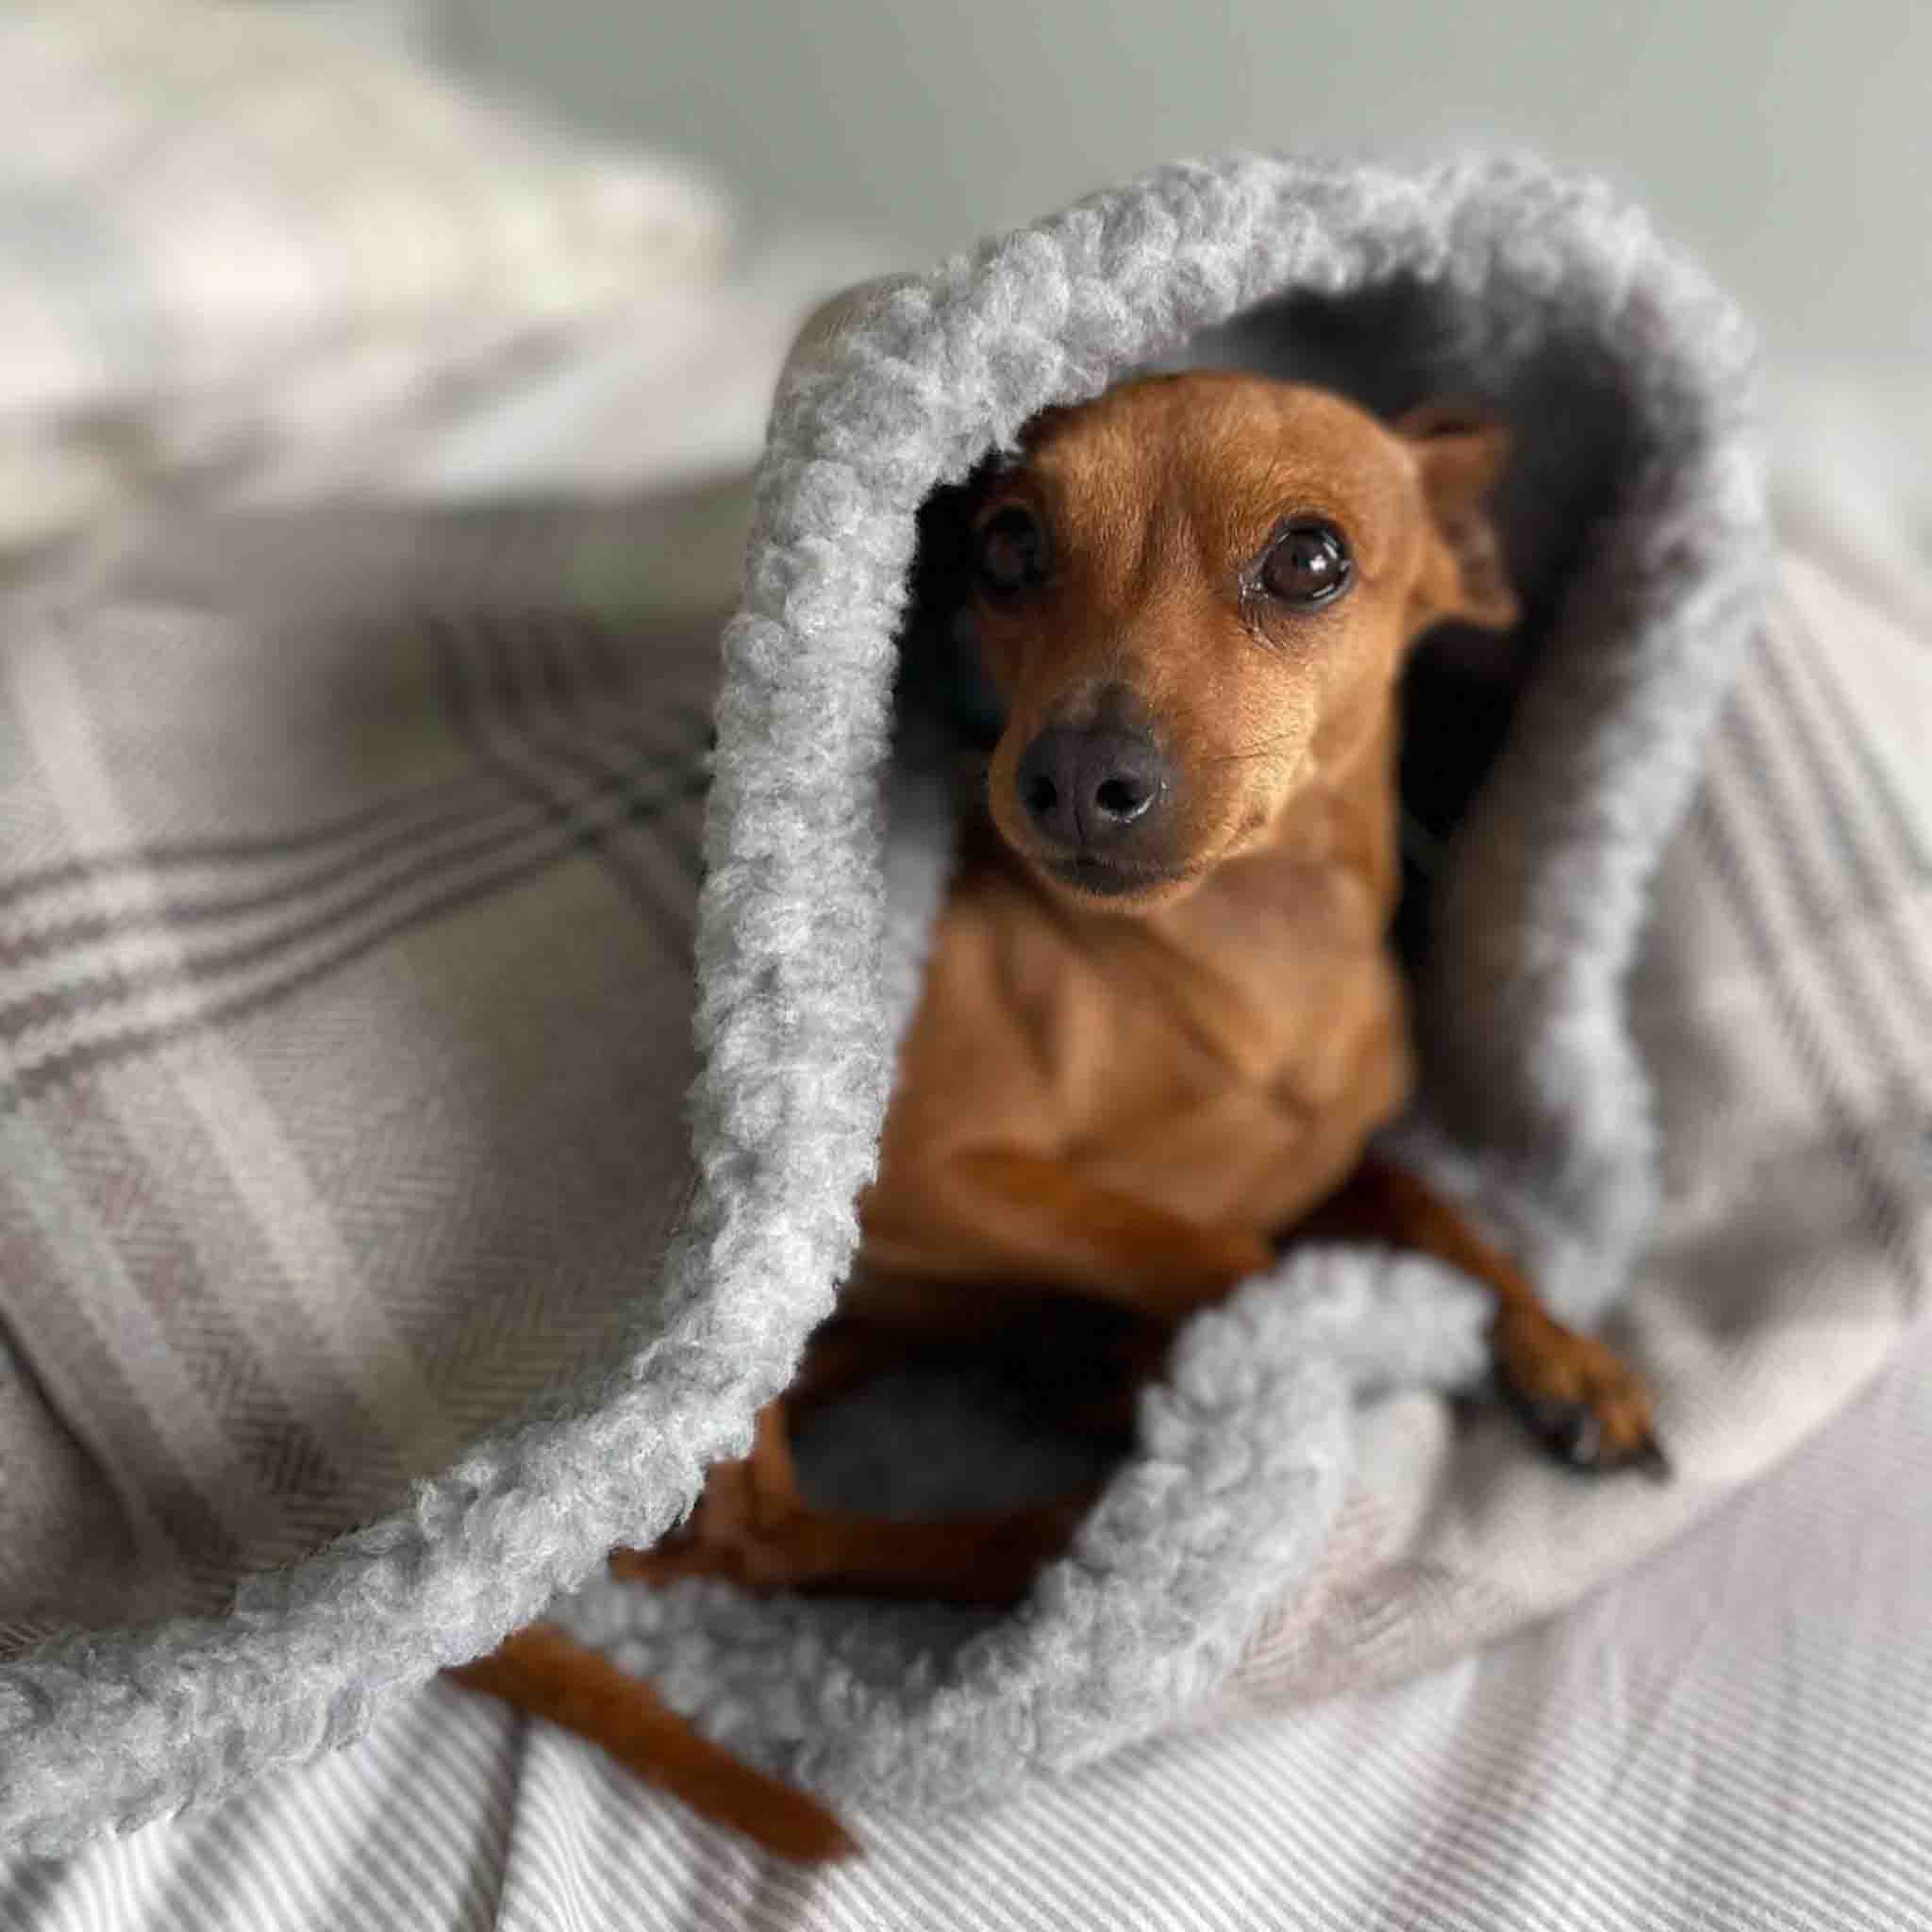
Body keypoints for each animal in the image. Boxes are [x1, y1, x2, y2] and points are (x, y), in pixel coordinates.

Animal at [452, 365, 1661, 1855]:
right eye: (1009, 548)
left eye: (1310, 559)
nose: (1075, 776)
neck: (1239, 973)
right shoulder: (915, 1182)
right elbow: (1212, 1248)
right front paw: (1182, 1357)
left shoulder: (1334, 1164)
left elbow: (1433, 1208)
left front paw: (1564, 1357)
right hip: (757, 1346)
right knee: (756, 1539)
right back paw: (1034, 1539)